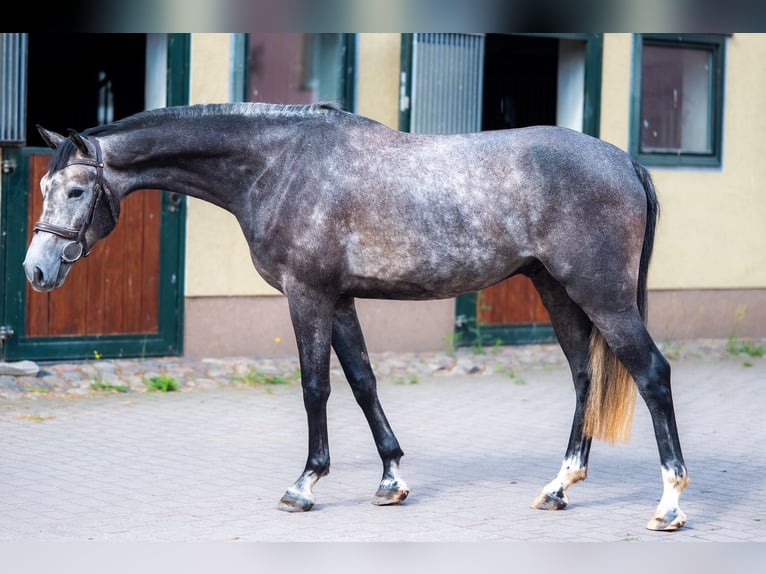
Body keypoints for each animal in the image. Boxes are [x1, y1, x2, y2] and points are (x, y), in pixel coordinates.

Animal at [23, 102, 688, 531]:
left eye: (76, 192)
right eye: (46, 188)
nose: (36, 270)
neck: (279, 165)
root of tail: (624, 162)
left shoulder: (307, 295)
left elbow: (315, 385)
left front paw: (304, 485)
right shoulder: (339, 300)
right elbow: (364, 381)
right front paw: (391, 480)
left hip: (601, 295)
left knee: (652, 374)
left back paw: (669, 505)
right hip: (559, 292)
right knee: (585, 376)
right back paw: (558, 488)